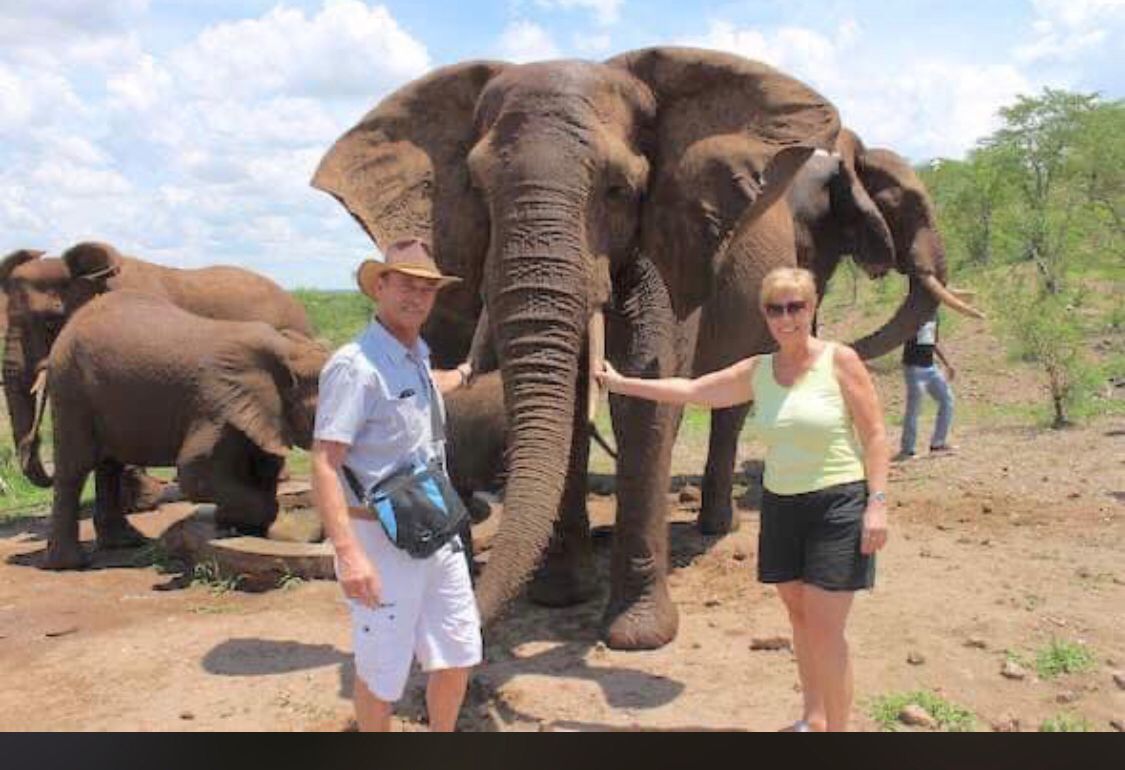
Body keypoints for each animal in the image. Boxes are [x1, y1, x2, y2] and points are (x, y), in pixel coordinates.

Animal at [37, 290, 327, 569]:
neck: (288, 348)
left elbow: (264, 465)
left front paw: (238, 525)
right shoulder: (216, 405)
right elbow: (195, 471)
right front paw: (241, 523)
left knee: (109, 465)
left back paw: (125, 543)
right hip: (69, 386)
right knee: (76, 468)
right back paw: (70, 564)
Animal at [313, 47, 845, 649]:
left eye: (618, 190)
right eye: (477, 188)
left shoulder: (671, 234)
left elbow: (647, 394)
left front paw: (639, 637)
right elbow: (564, 402)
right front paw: (560, 596)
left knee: (732, 407)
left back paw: (716, 528)